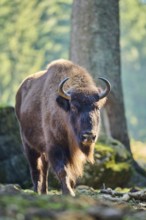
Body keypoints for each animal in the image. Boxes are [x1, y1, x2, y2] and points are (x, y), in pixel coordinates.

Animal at [15, 58, 110, 196]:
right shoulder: (55, 146)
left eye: (96, 107)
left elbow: (71, 173)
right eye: (74, 107)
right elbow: (62, 170)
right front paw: (69, 193)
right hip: (28, 144)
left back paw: (44, 192)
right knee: (35, 169)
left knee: (44, 169)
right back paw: (37, 191)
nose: (88, 136)